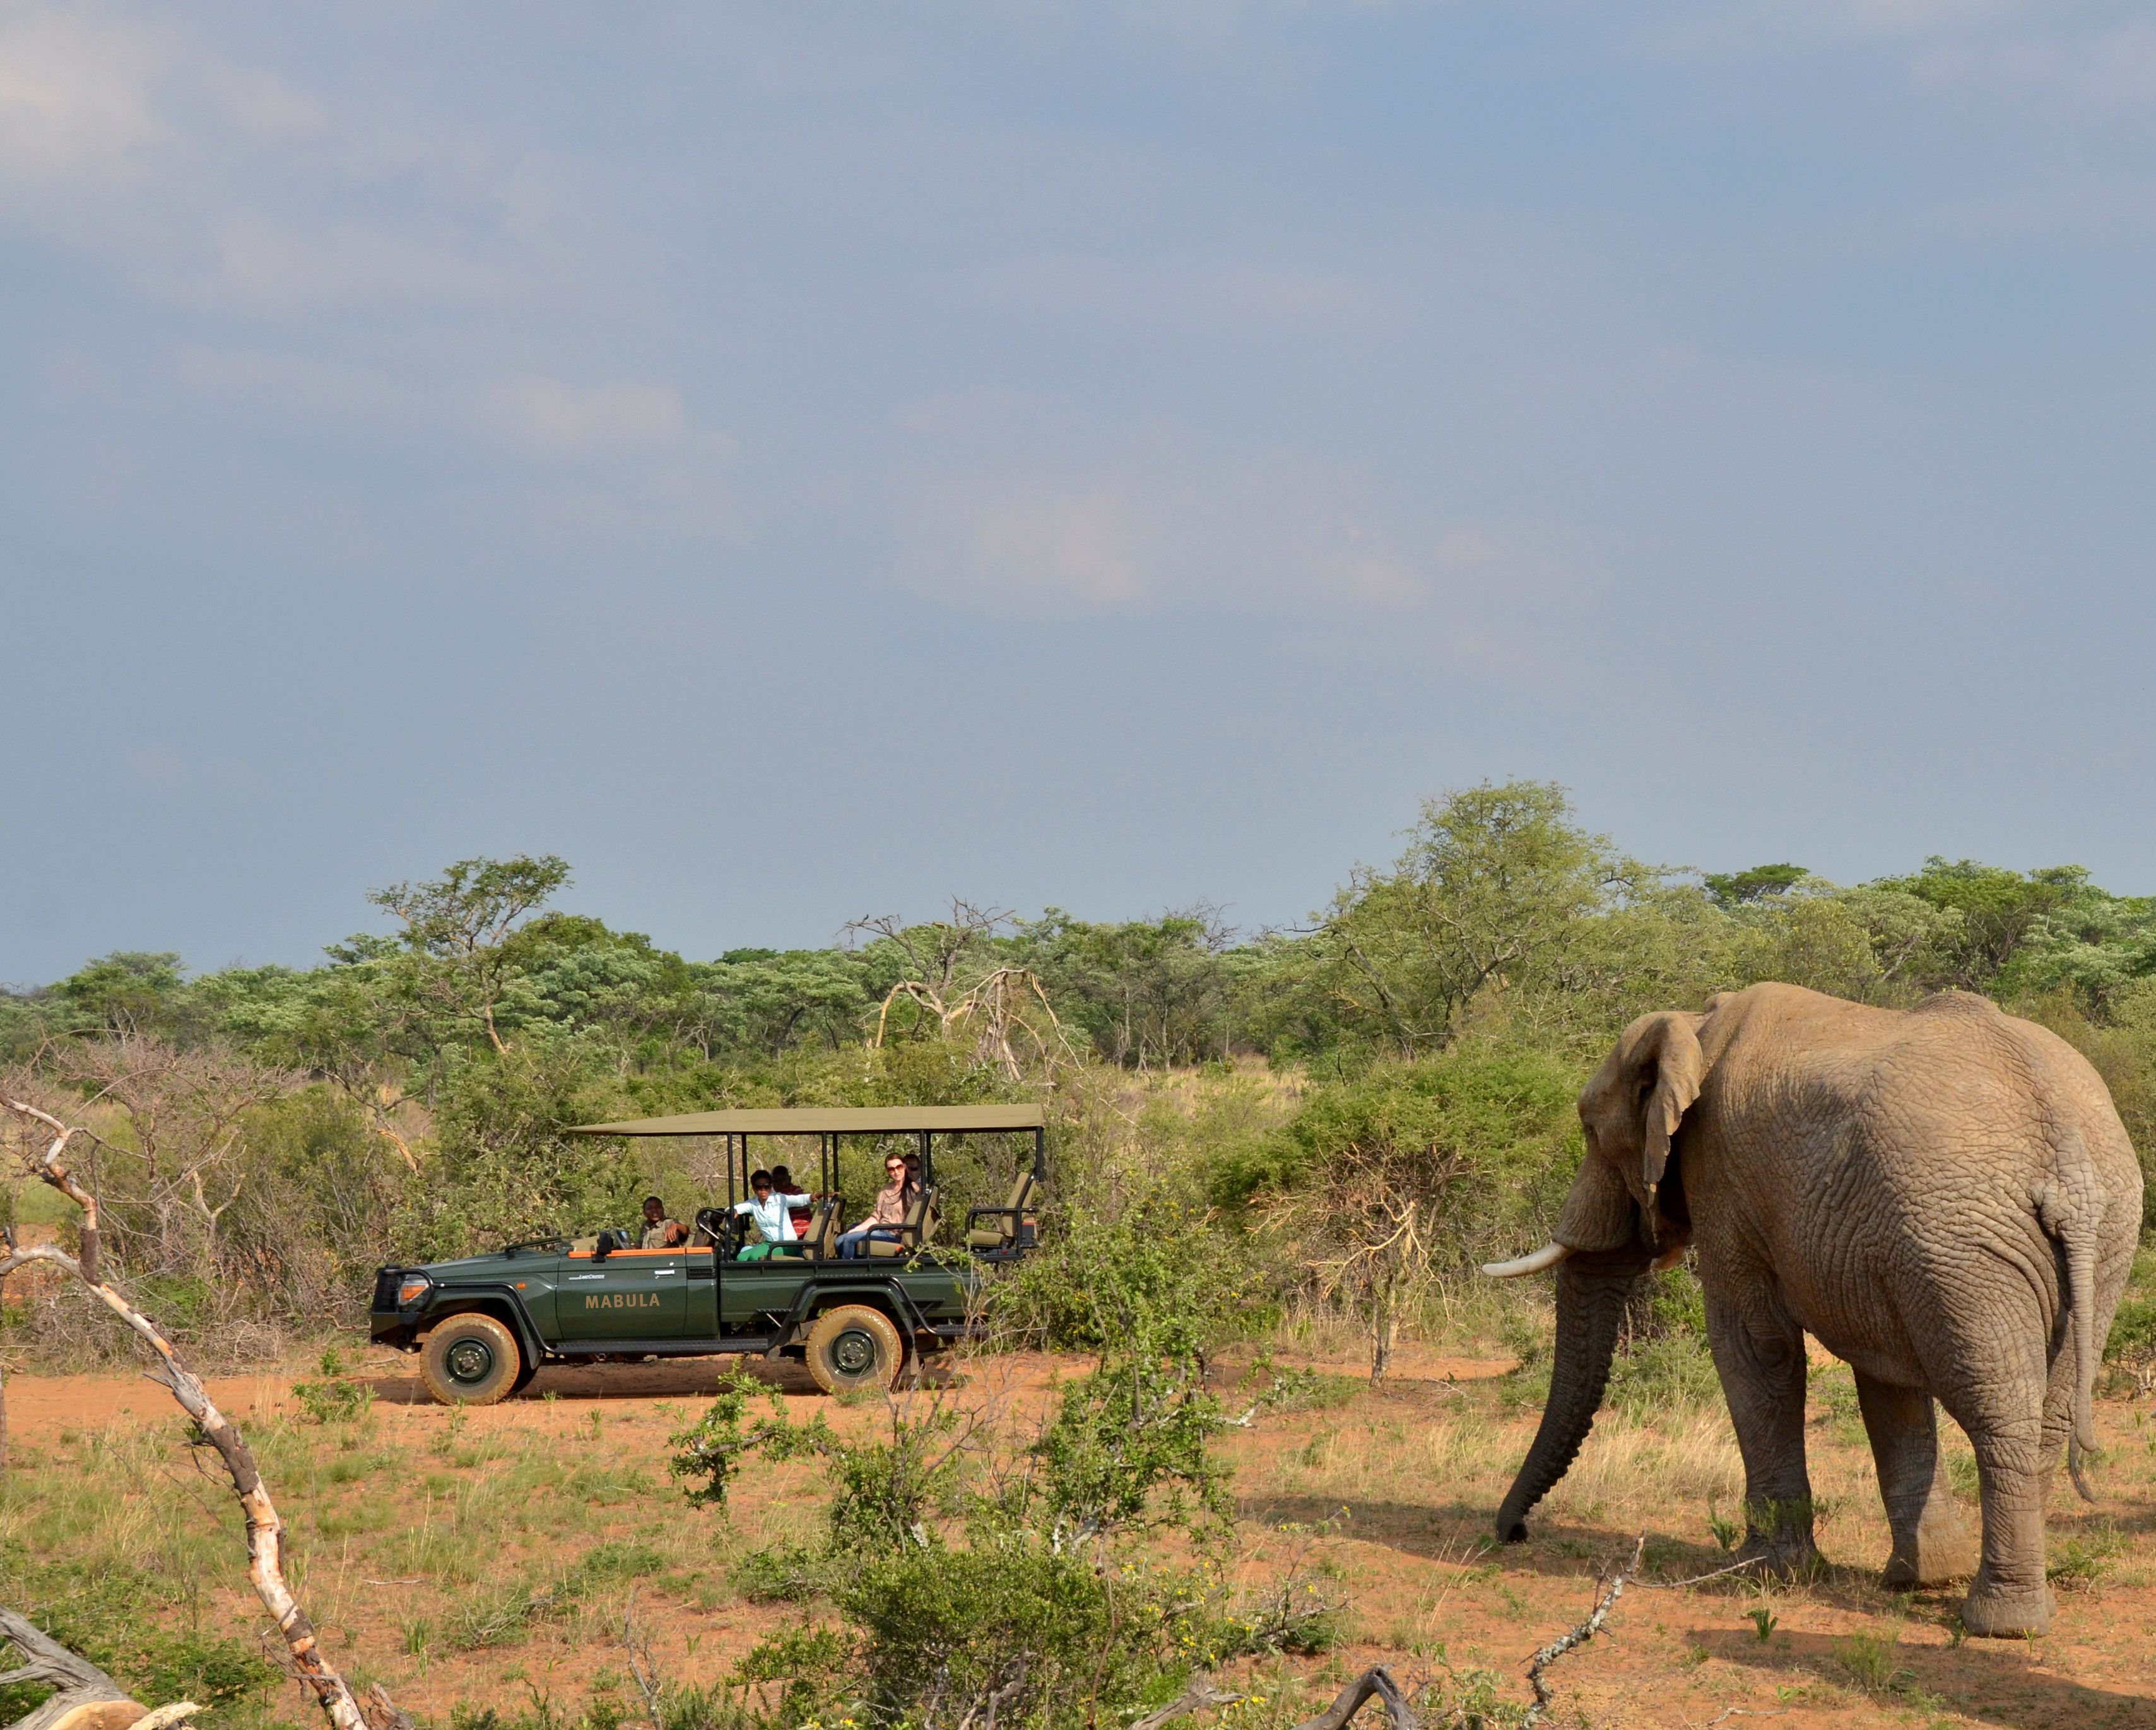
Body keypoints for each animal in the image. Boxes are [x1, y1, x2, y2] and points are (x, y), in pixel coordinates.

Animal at [1483, 982, 2141, 1637]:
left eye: (1590, 1131)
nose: (1512, 1534)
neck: (1696, 1026)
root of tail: (2067, 1154)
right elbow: (1886, 1381)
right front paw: (1918, 1578)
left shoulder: (1722, 1174)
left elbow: (1755, 1347)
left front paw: (1760, 1570)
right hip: (2081, 1236)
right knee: (2047, 1414)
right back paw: (2007, 1606)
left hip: (1965, 1238)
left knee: (1998, 1409)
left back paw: (2000, 1623)